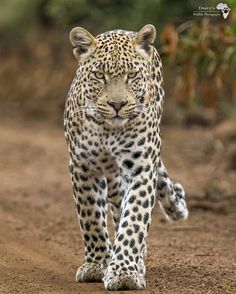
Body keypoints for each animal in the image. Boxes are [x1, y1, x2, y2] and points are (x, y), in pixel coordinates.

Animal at [63, 24, 189, 290]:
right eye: (99, 75)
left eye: (131, 75)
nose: (117, 104)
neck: (108, 130)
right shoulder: (83, 167)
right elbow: (91, 218)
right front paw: (97, 265)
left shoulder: (140, 169)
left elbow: (134, 221)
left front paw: (124, 273)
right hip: (111, 178)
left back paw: (136, 261)